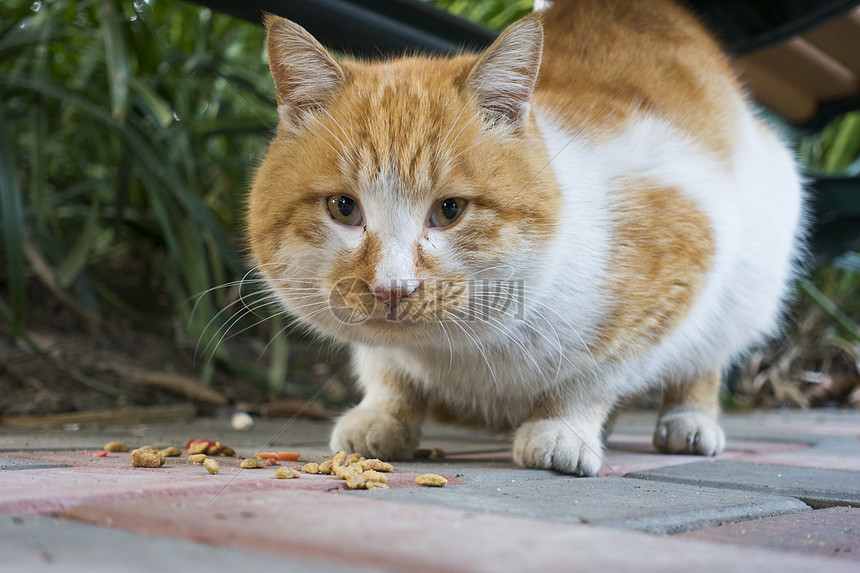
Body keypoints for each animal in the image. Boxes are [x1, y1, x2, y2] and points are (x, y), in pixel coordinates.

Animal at [247, 0, 808, 474]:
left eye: (449, 210)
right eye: (344, 208)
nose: (392, 289)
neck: (461, 350)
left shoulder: (683, 250)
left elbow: (594, 374)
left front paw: (562, 428)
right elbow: (386, 367)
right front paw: (384, 413)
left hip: (756, 265)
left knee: (706, 357)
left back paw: (689, 420)